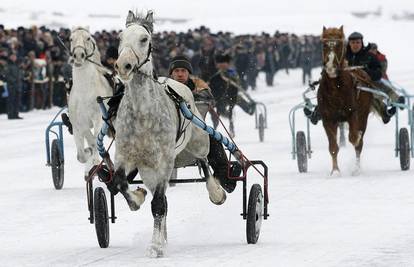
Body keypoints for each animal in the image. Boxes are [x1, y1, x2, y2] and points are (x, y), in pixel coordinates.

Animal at [68, 26, 113, 178]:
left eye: (88, 38)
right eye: (71, 38)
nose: (78, 55)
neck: (84, 94)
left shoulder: (98, 118)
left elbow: (94, 140)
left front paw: (95, 162)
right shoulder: (78, 124)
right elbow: (82, 153)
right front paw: (88, 157)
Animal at [112, 10, 226, 258]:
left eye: (144, 38)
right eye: (120, 37)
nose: (123, 65)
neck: (143, 114)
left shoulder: (164, 161)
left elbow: (158, 204)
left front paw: (155, 247)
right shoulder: (125, 156)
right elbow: (120, 183)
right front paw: (138, 197)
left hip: (198, 141)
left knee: (204, 162)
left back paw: (215, 191)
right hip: (148, 169)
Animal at [318, 26, 374, 175]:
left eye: (339, 44)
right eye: (324, 45)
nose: (330, 67)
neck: (335, 89)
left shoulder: (352, 113)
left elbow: (354, 138)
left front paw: (357, 138)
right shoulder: (328, 118)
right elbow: (333, 146)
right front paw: (335, 171)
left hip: (363, 114)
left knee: (358, 143)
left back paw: (357, 168)